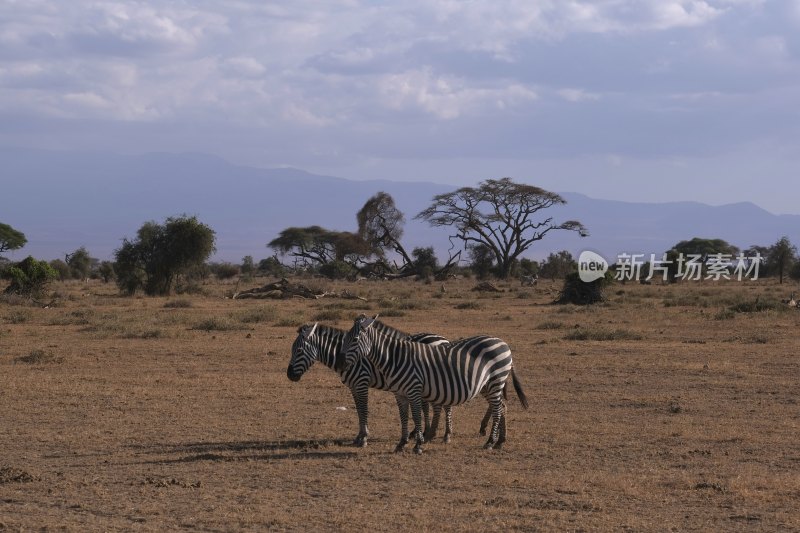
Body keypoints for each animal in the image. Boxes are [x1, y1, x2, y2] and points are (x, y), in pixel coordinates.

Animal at [286, 320, 456, 444]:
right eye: (292, 349)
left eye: (299, 351)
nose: (289, 375)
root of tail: (445, 340)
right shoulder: (353, 386)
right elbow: (358, 410)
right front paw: (359, 436)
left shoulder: (362, 382)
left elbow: (364, 409)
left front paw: (364, 437)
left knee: (443, 405)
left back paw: (445, 435)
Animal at [334, 312, 528, 454]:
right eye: (345, 339)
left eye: (355, 340)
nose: (340, 363)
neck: (394, 358)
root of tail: (503, 342)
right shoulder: (399, 393)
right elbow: (403, 417)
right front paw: (402, 443)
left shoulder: (413, 389)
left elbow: (417, 415)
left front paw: (418, 444)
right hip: (488, 385)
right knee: (502, 407)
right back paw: (500, 441)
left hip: (496, 380)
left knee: (497, 409)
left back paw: (490, 442)